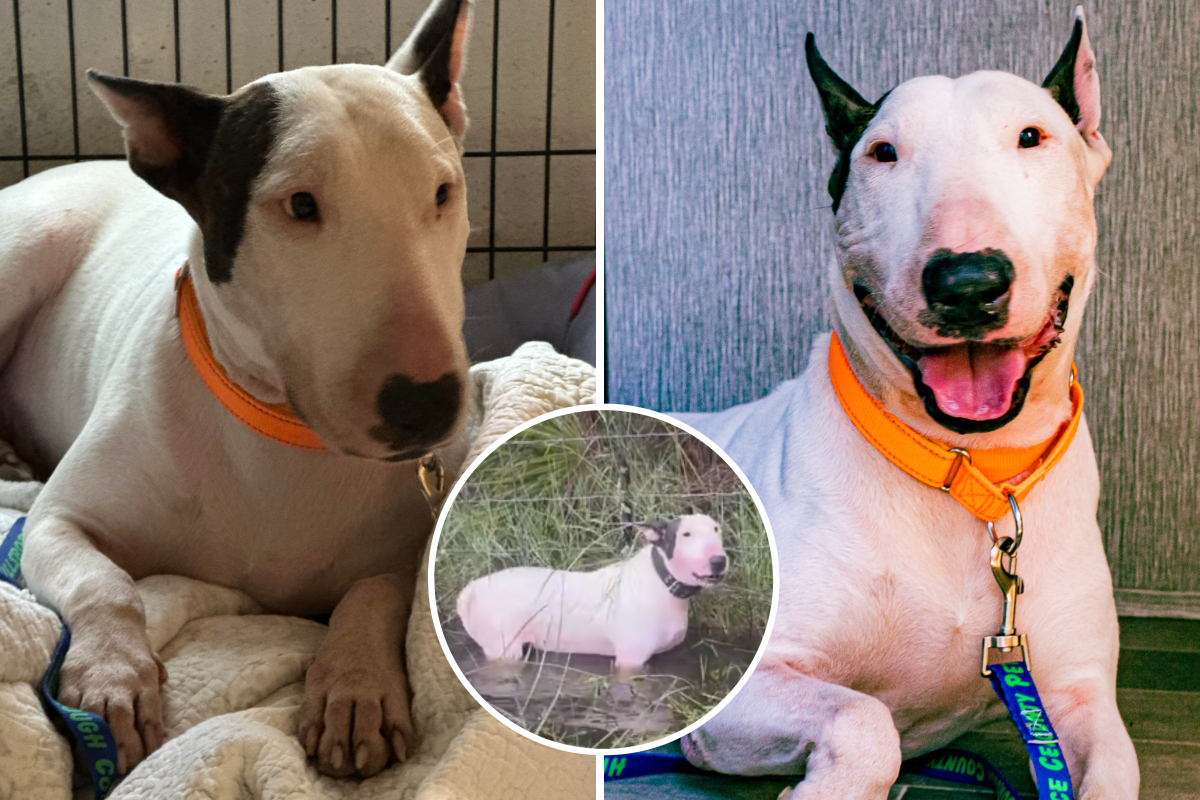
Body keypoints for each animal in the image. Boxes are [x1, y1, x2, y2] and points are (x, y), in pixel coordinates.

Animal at [453, 513, 724, 671]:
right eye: (686, 534)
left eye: (717, 529)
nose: (719, 561)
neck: (662, 582)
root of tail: (471, 589)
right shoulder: (630, 661)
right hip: (503, 649)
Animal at [681, 10, 1137, 800]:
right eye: (883, 153)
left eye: (1032, 136)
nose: (966, 282)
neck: (965, 469)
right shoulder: (733, 691)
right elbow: (867, 722)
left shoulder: (1078, 693)